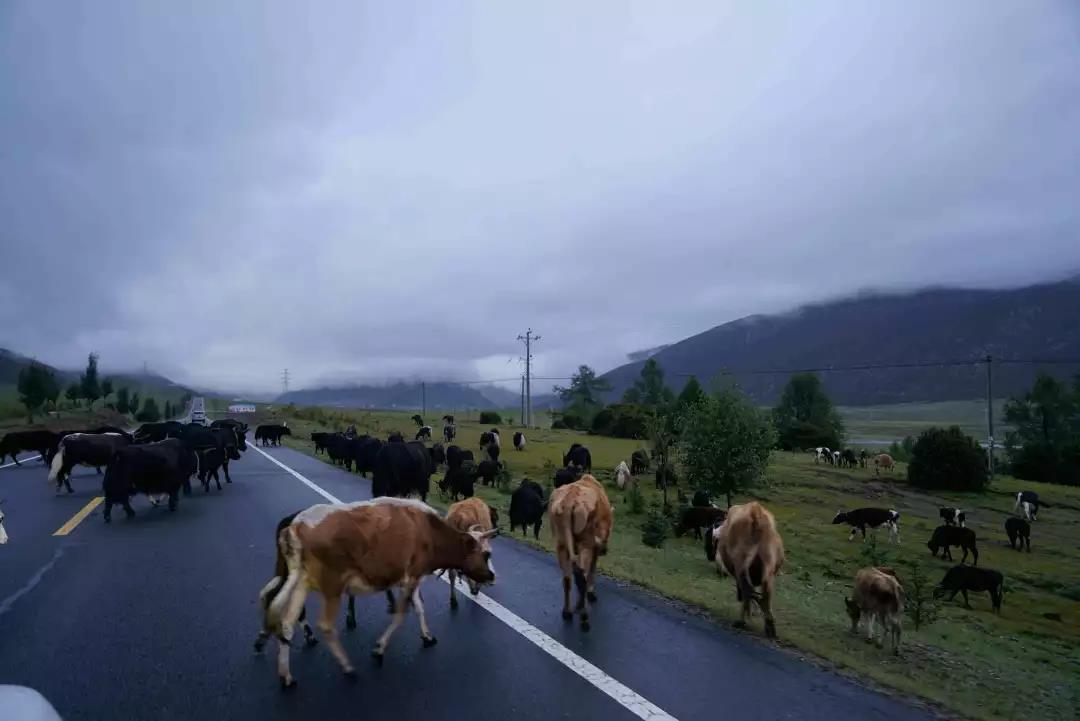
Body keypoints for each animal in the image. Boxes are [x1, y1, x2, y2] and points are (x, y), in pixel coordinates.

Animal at [261, 496, 496, 686]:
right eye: (486, 554)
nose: (492, 577)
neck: (428, 530)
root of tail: (296, 525)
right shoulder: (411, 577)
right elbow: (400, 615)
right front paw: (379, 649)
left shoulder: (412, 578)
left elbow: (419, 608)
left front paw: (427, 636)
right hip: (332, 586)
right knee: (325, 625)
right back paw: (347, 667)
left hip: (301, 581)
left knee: (287, 622)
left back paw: (286, 675)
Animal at [552, 472, 613, 630]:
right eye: (609, 530)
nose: (605, 550)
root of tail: (569, 503)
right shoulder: (594, 546)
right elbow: (593, 569)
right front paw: (592, 593)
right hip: (584, 543)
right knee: (582, 574)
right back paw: (584, 617)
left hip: (561, 543)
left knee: (567, 578)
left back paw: (567, 611)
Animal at [717, 500, 786, 634]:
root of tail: (755, 513)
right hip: (768, 568)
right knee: (765, 595)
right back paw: (770, 627)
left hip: (741, 564)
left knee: (747, 591)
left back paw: (742, 621)